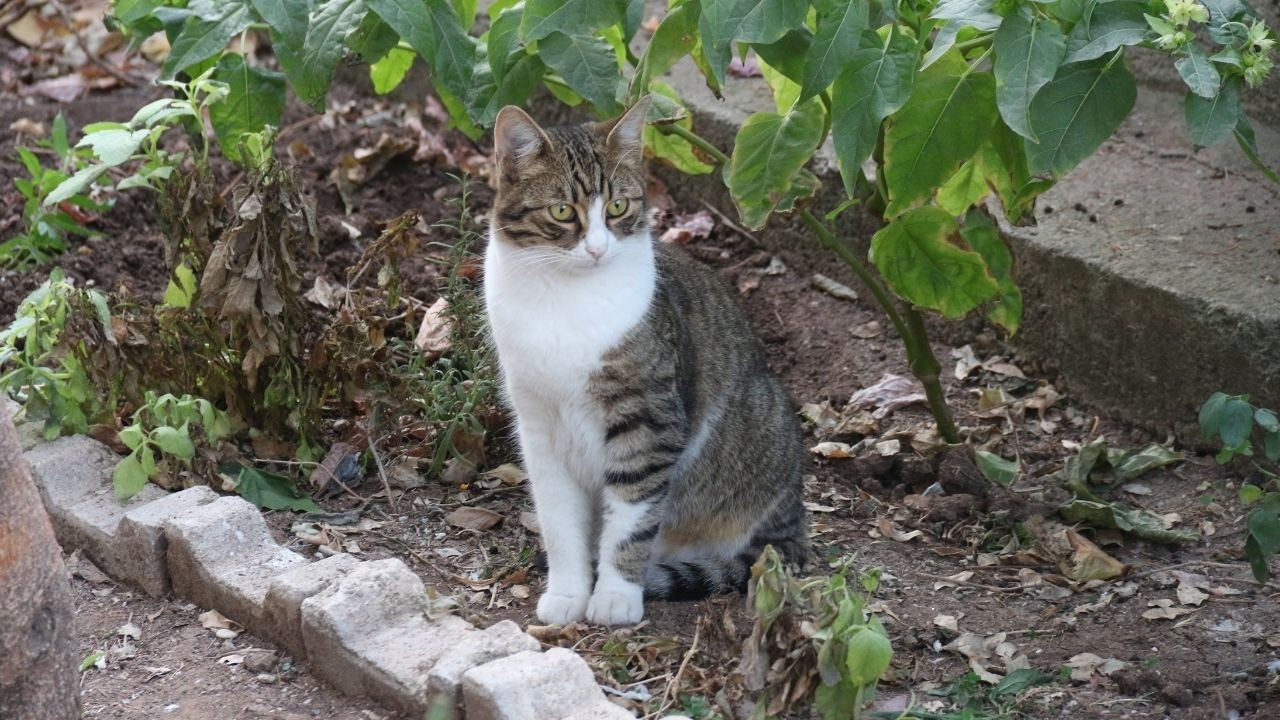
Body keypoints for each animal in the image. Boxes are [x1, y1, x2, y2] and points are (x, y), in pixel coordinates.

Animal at [483, 96, 803, 622]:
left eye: (617, 206)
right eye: (562, 211)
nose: (597, 249)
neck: (565, 300)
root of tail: (795, 521)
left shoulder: (648, 420)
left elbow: (631, 517)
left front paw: (615, 596)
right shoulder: (539, 424)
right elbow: (558, 519)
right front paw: (567, 593)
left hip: (763, 425)